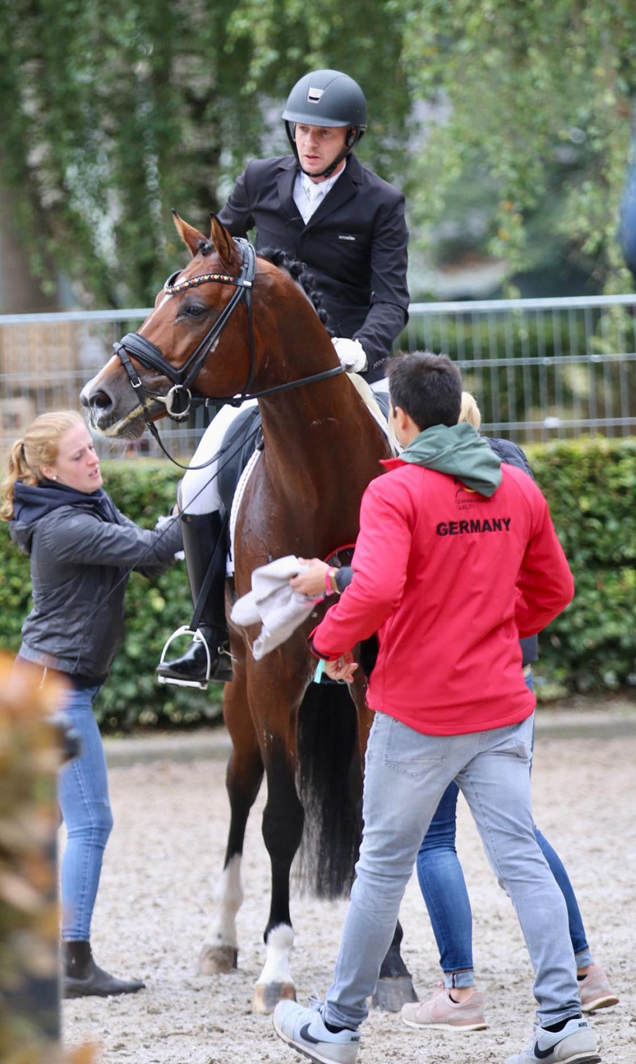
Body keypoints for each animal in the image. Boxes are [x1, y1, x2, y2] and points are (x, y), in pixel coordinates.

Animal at [80, 213, 419, 1012]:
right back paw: (223, 940)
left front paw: (388, 960)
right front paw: (277, 968)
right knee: (241, 790)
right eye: (162, 299)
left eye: (195, 309)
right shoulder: (271, 672)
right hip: (239, 690)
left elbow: (373, 809)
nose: (99, 399)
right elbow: (280, 818)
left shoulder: (373, 670)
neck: (321, 478)